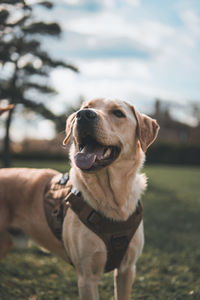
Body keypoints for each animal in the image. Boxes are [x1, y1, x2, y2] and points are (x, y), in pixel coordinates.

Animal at [0, 98, 159, 298]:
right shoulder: (87, 277)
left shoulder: (127, 269)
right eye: (85, 107)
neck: (112, 198)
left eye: (118, 113)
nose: (83, 115)